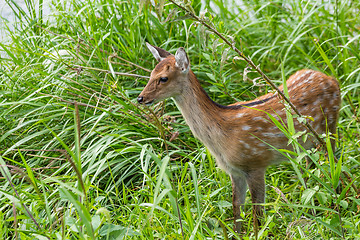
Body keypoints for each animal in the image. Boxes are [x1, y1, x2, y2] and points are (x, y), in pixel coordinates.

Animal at [137, 43, 340, 234]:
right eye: (151, 74)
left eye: (163, 78)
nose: (140, 98)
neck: (222, 136)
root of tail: (332, 79)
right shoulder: (234, 171)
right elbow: (237, 209)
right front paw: (238, 233)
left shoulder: (255, 163)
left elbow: (257, 213)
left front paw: (258, 233)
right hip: (307, 143)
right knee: (310, 169)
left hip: (329, 129)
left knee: (333, 162)